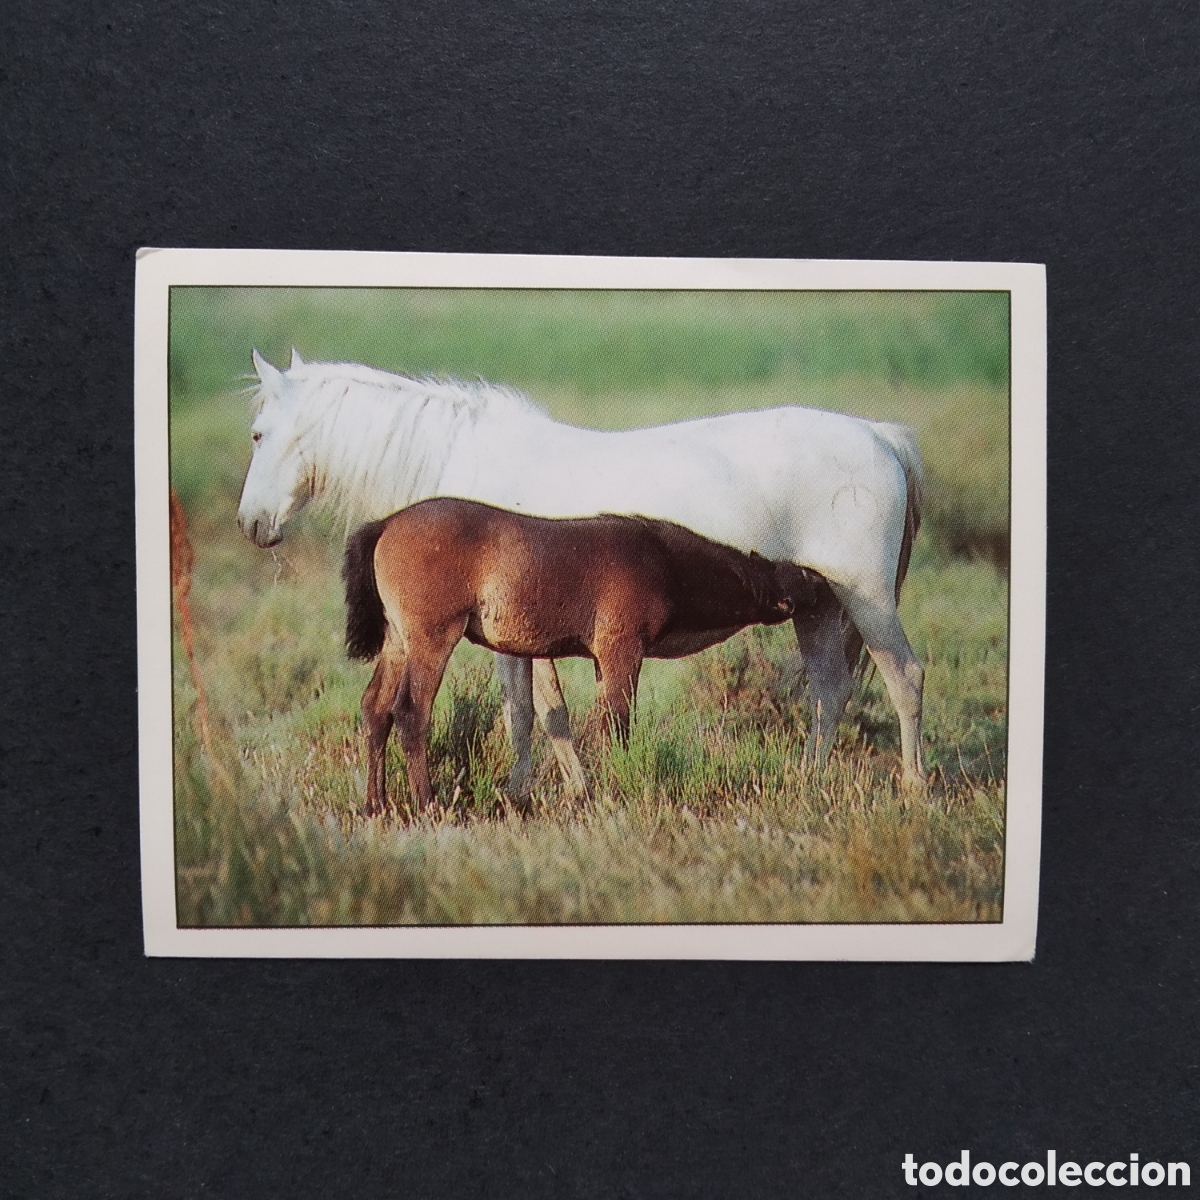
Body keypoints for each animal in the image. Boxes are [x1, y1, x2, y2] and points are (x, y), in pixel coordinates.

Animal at [342, 498, 829, 814]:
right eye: (790, 575)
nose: (821, 582)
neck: (663, 560)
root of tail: (386, 524)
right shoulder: (621, 651)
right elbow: (617, 723)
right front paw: (619, 787)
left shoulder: (601, 660)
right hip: (431, 641)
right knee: (411, 712)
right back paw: (428, 804)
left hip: (398, 644)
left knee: (375, 710)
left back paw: (375, 805)